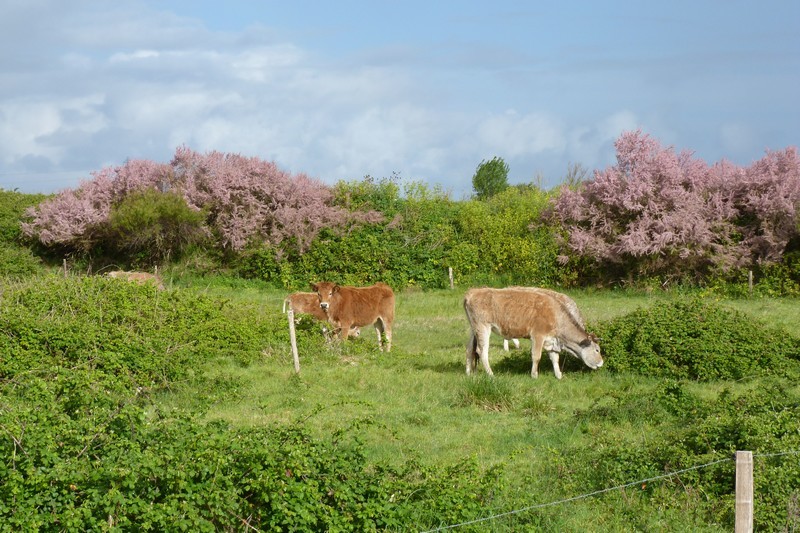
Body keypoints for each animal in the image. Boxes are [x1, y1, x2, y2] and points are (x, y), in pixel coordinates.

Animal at [463, 287, 602, 379]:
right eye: (597, 350)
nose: (601, 362)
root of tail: (473, 292)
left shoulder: (551, 340)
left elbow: (555, 358)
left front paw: (558, 375)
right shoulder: (538, 335)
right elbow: (536, 356)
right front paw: (534, 375)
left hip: (473, 328)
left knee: (469, 349)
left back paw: (468, 373)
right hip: (483, 327)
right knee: (482, 351)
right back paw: (491, 374)